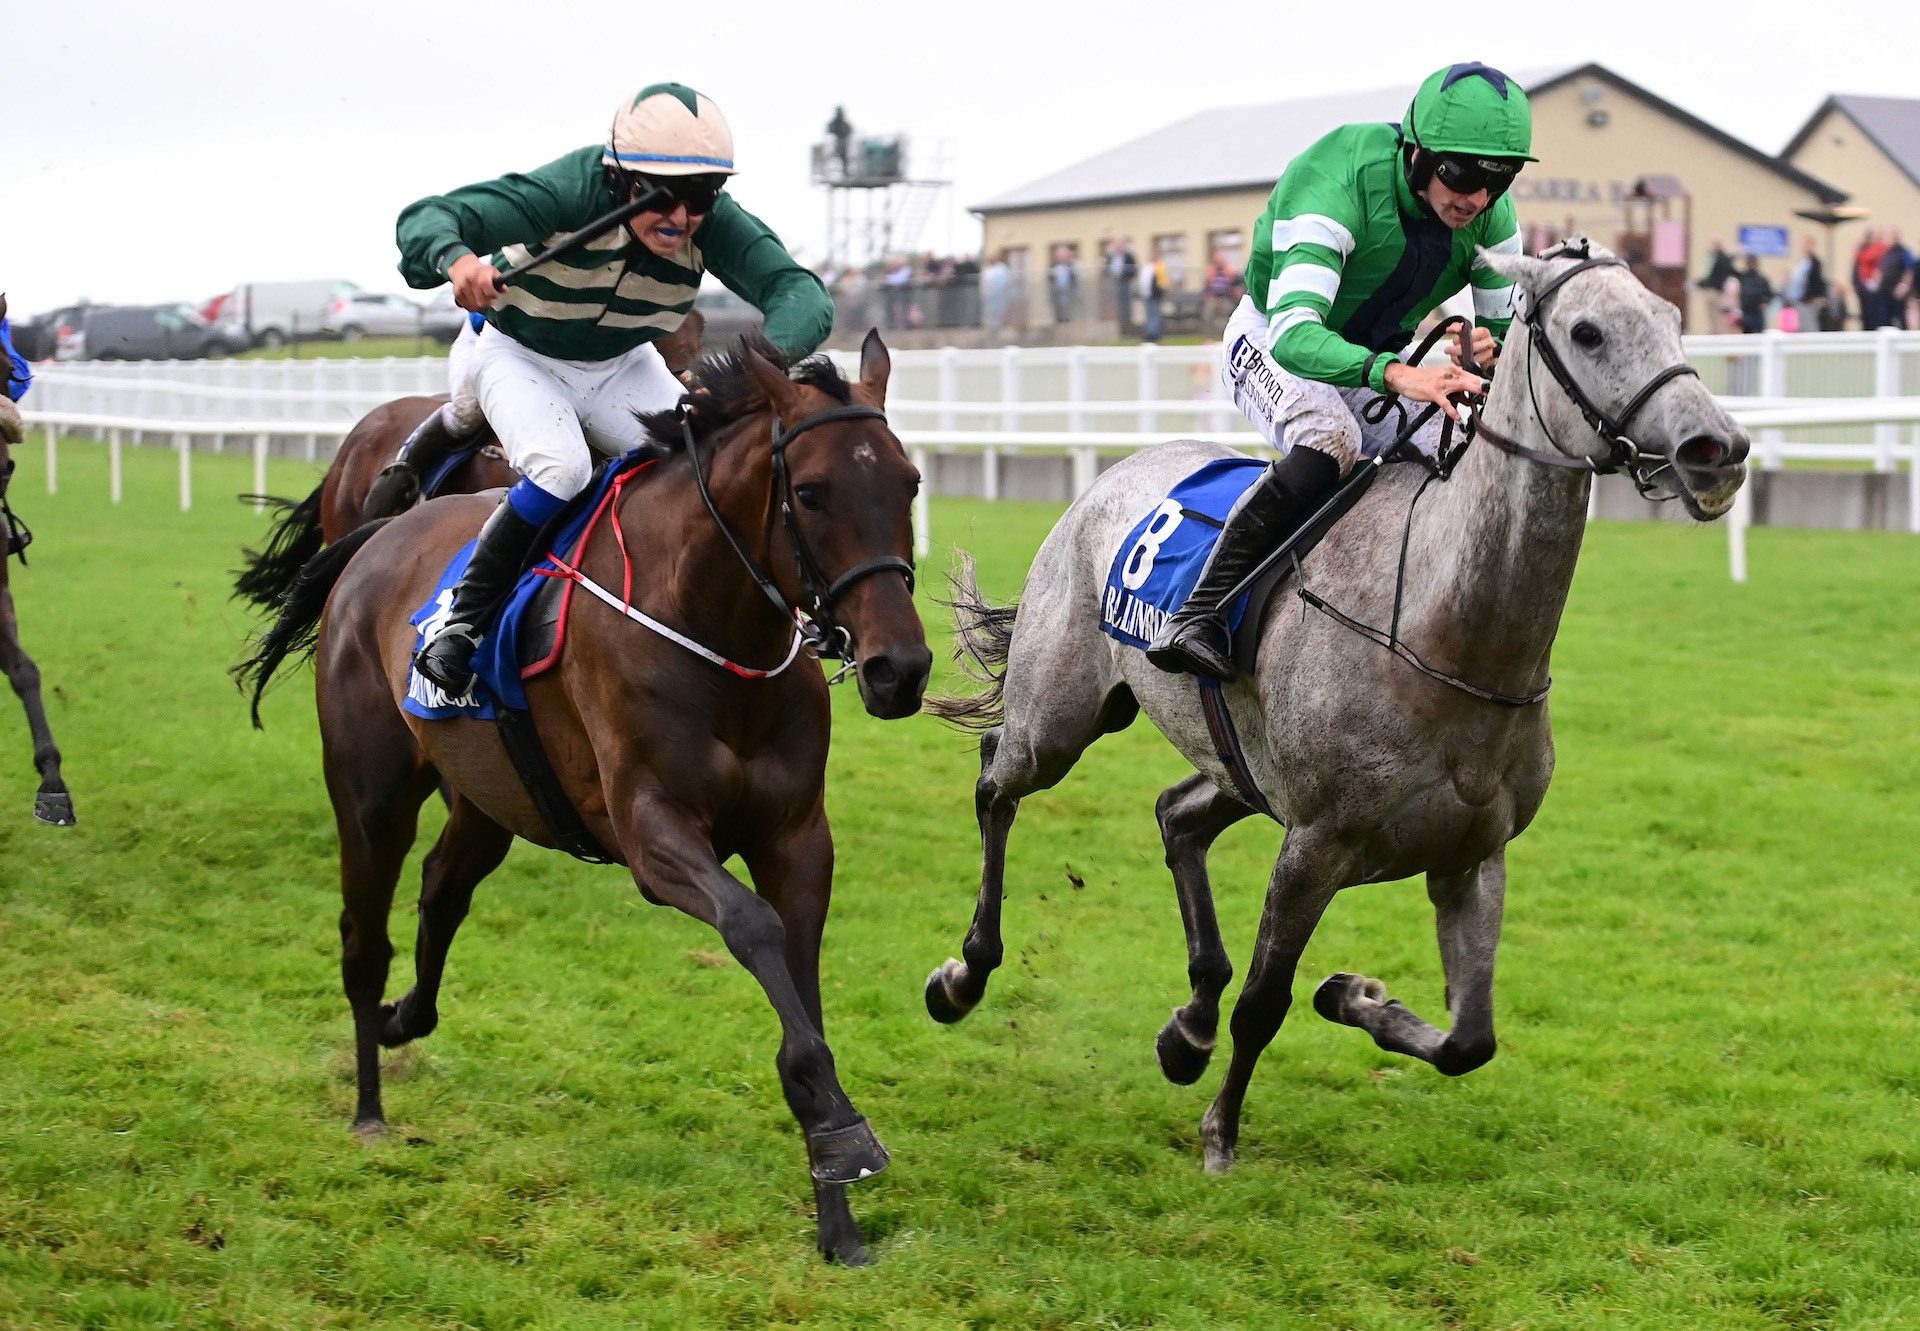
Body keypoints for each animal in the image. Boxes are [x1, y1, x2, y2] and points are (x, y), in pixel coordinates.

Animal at [236, 326, 925, 1259]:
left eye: (909, 482)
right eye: (811, 492)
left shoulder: (796, 837)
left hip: (489, 798)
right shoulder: (652, 832)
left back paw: (403, 1017)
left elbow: (804, 993)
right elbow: (753, 927)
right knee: (363, 936)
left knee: (442, 890)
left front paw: (837, 1204)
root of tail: (383, 532)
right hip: (371, 792)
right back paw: (370, 1105)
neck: (714, 629)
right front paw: (840, 1135)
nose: (900, 668)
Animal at [921, 241, 1751, 1175]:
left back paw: (1187, 1027)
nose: (1717, 448)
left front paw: (1352, 995)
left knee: (1177, 815)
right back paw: (965, 975)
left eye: (1674, 317)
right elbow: (1265, 1000)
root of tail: (1119, 472)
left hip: (1240, 768)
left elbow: (1470, 1039)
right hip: (1061, 716)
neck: (1445, 627)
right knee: (997, 776)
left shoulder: (1472, 856)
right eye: (1587, 330)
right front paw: (1222, 1131)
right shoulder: (1314, 845)